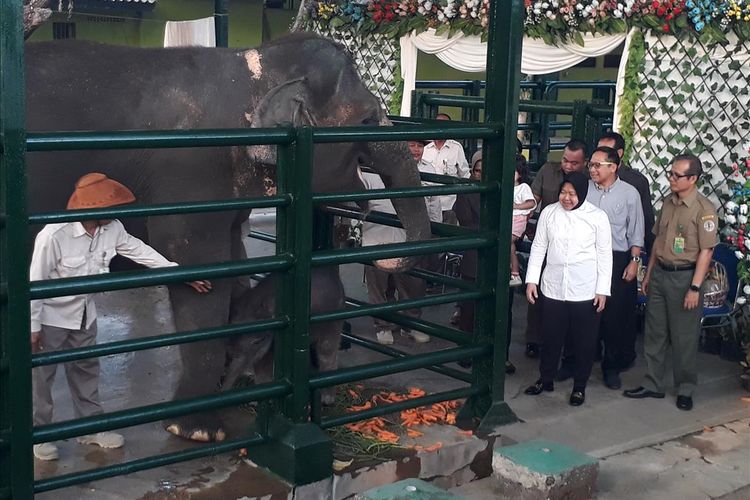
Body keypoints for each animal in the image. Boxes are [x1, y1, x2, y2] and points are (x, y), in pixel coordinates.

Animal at [223, 266, 346, 406]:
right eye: (229, 337)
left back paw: (327, 400)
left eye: (258, 341)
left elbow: (264, 369)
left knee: (327, 354)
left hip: (333, 322)